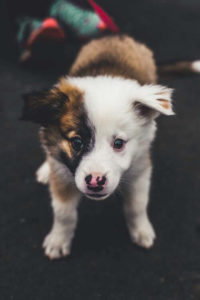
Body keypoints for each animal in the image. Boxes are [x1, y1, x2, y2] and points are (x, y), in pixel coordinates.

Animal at [21, 35, 175, 258]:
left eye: (118, 143)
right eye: (77, 142)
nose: (95, 181)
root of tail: (116, 36)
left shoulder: (140, 169)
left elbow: (136, 206)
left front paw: (141, 230)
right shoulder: (62, 175)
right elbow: (64, 213)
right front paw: (59, 240)